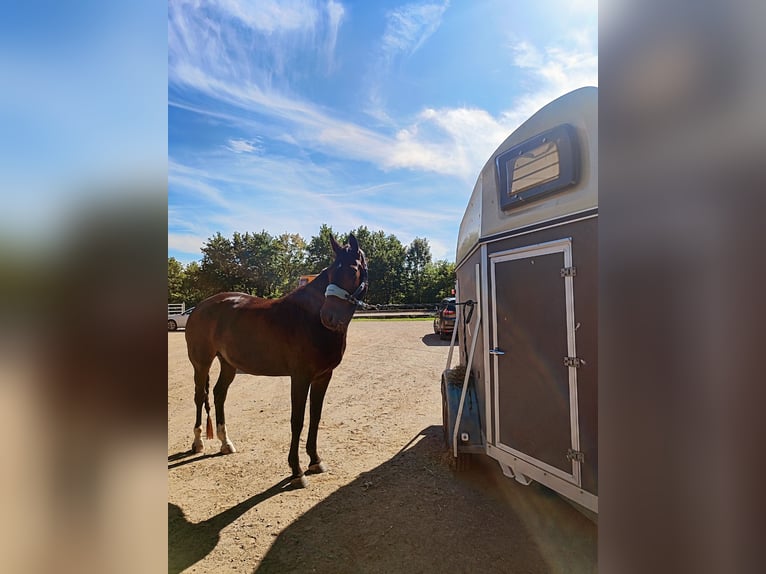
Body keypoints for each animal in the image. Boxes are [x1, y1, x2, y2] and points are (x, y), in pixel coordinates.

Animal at [184, 234, 368, 487]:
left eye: (352, 270)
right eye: (331, 272)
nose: (328, 317)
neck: (309, 318)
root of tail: (200, 307)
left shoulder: (323, 376)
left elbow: (315, 416)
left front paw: (315, 461)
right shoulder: (300, 377)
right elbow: (297, 420)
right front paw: (296, 471)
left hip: (228, 364)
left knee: (219, 394)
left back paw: (225, 442)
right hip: (201, 363)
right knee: (199, 396)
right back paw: (198, 442)